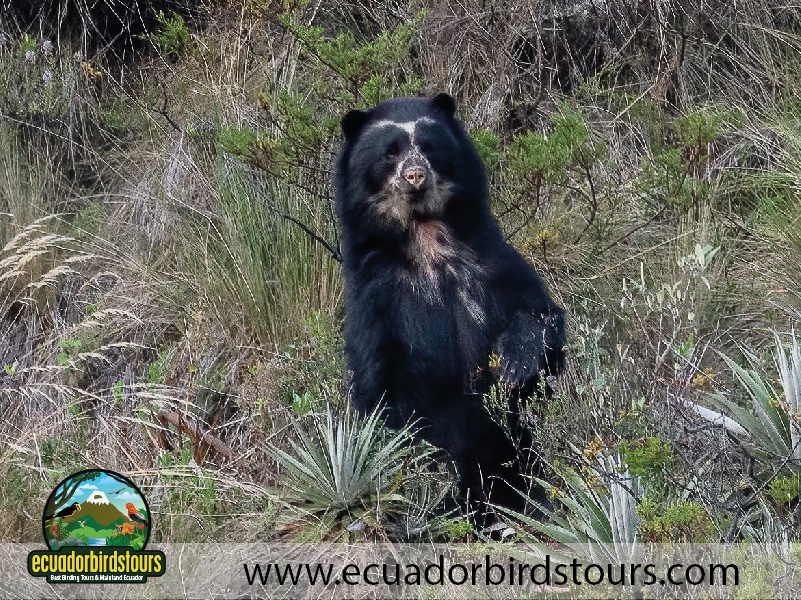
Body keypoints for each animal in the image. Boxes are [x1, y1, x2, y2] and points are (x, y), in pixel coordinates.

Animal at [335, 93, 566, 515]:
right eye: (390, 152)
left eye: (428, 146)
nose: (414, 176)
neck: (426, 234)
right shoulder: (376, 295)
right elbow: (382, 379)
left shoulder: (490, 261)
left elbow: (541, 316)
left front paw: (513, 362)